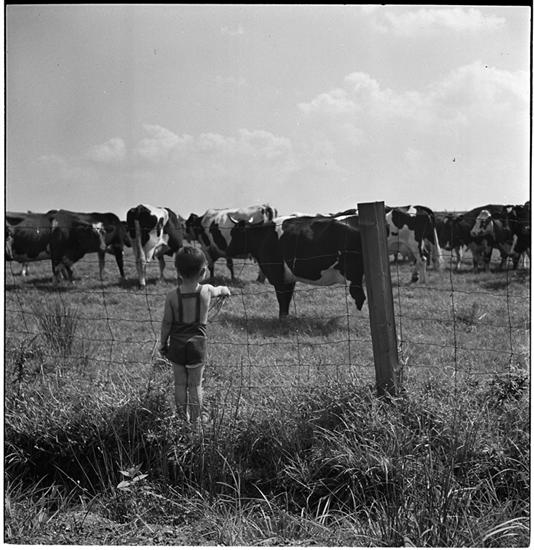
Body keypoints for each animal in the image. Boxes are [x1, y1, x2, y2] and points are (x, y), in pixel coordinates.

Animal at [225, 215, 366, 318]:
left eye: (235, 233)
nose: (227, 250)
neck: (263, 236)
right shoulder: (289, 278)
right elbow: (287, 298)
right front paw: (286, 318)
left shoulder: (277, 275)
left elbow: (282, 298)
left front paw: (282, 320)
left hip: (353, 274)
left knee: (359, 297)